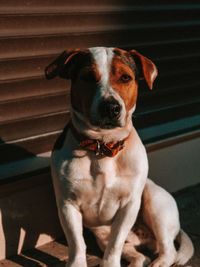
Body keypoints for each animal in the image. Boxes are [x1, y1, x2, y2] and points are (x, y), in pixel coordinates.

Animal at [45, 47, 194, 267]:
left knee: (169, 251)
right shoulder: (67, 204)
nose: (110, 107)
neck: (102, 147)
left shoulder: (128, 206)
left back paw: (159, 261)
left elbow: (115, 244)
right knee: (140, 256)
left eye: (125, 77)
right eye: (88, 77)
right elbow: (77, 243)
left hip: (155, 203)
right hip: (103, 236)